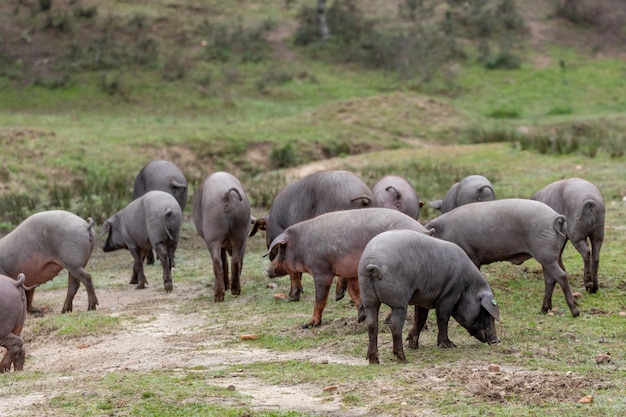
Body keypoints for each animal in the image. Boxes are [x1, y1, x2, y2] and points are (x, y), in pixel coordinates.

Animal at [193, 171, 251, 300]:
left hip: (212, 235)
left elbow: (223, 261)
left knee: (217, 261)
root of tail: (225, 194)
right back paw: (235, 291)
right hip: (240, 231)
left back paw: (218, 296)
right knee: (235, 260)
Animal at [264, 208, 428, 328]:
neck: (301, 245)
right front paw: (361, 318)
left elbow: (320, 299)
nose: (267, 271)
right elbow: (353, 291)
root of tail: (424, 231)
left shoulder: (321, 270)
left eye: (280, 250)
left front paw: (308, 325)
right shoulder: (350, 271)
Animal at [358, 229, 500, 362]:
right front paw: (450, 345)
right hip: (399, 302)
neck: (466, 286)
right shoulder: (449, 296)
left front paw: (413, 345)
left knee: (372, 324)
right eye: (484, 311)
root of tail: (372, 262)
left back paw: (373, 361)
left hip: (368, 299)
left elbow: (420, 319)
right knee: (394, 324)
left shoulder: (422, 299)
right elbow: (443, 319)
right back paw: (403, 360)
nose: (497, 340)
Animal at [422, 198, 576, 316]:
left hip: (545, 254)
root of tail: (556, 218)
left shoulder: (471, 256)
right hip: (552, 255)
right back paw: (544, 310)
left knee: (561, 275)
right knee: (550, 278)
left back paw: (575, 311)